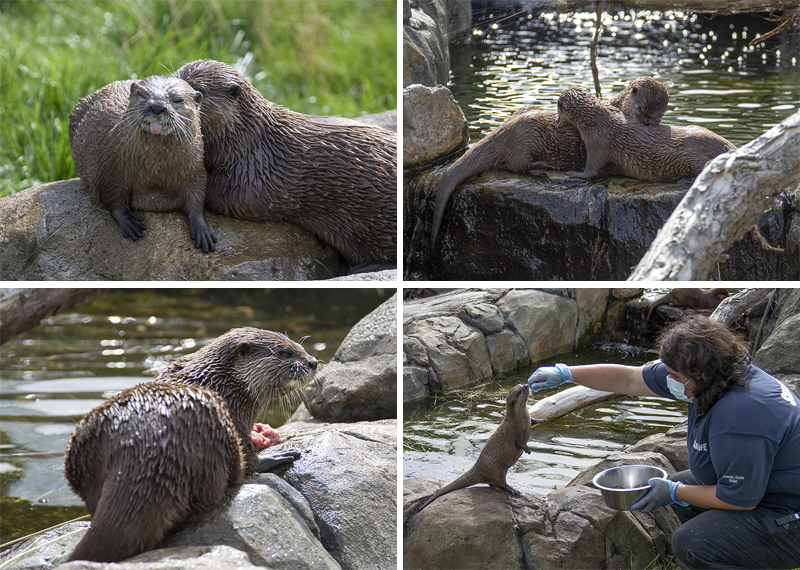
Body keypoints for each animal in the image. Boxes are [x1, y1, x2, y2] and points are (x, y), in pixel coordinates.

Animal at [64, 328, 317, 562]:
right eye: (285, 353)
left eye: (299, 345)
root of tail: (141, 447)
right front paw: (272, 454)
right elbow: (248, 452)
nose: (313, 362)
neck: (223, 384)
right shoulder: (235, 414)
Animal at [68, 75, 216, 253]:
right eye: (143, 95)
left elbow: (197, 200)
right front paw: (129, 222)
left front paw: (202, 229)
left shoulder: (195, 169)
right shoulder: (113, 167)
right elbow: (113, 198)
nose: (157, 107)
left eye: (177, 99)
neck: (156, 171)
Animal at [430, 77, 670, 248]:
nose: (647, 123)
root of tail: (505, 130)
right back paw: (544, 165)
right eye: (640, 109)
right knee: (516, 164)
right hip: (527, 138)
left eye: (658, 116)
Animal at [557, 86, 736, 183]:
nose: (558, 122)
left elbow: (591, 169)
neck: (596, 120)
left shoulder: (597, 143)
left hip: (692, 158)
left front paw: (575, 174)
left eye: (559, 112)